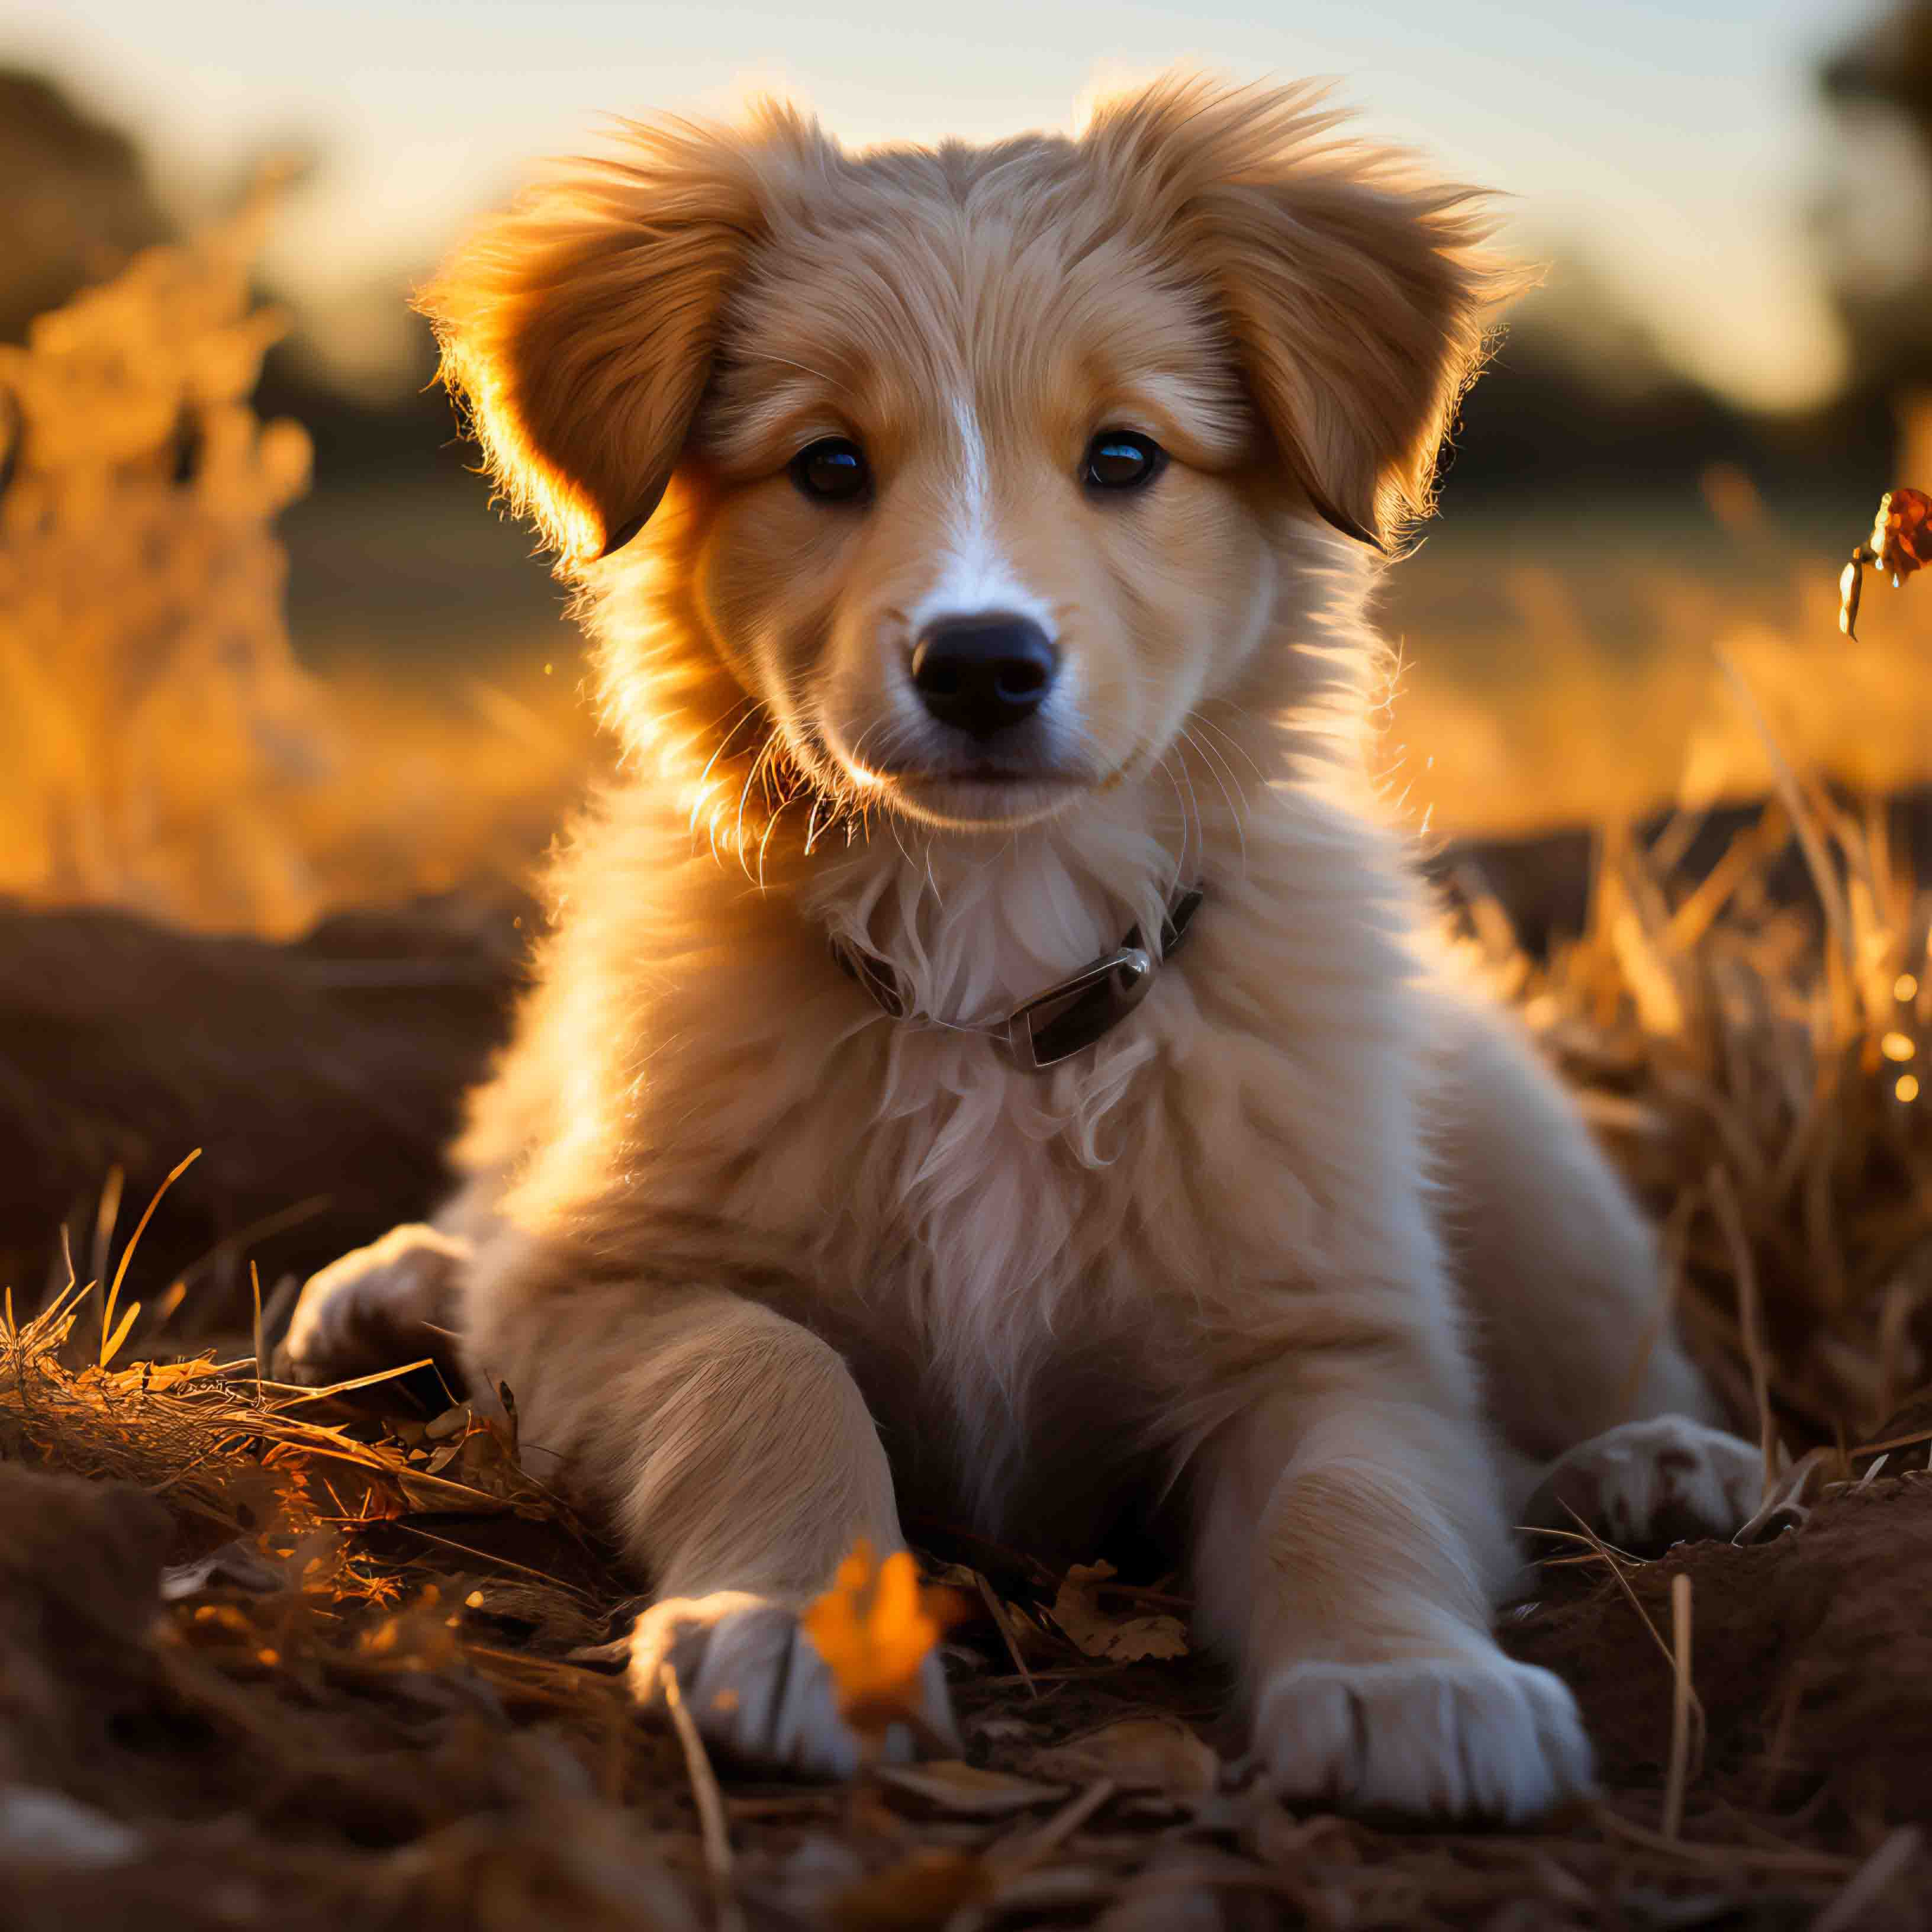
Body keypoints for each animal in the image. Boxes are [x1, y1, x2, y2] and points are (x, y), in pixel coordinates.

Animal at [286, 75, 1769, 1816]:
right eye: (828, 464)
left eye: (1123, 456)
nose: (983, 663)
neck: (992, 971)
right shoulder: (606, 1284)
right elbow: (768, 1376)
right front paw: (795, 1633)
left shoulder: (1326, 1326)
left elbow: (1363, 1488)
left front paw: (1410, 1678)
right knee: (496, 1213)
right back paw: (394, 1293)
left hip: (1530, 1164)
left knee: (1604, 1371)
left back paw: (1657, 1461)